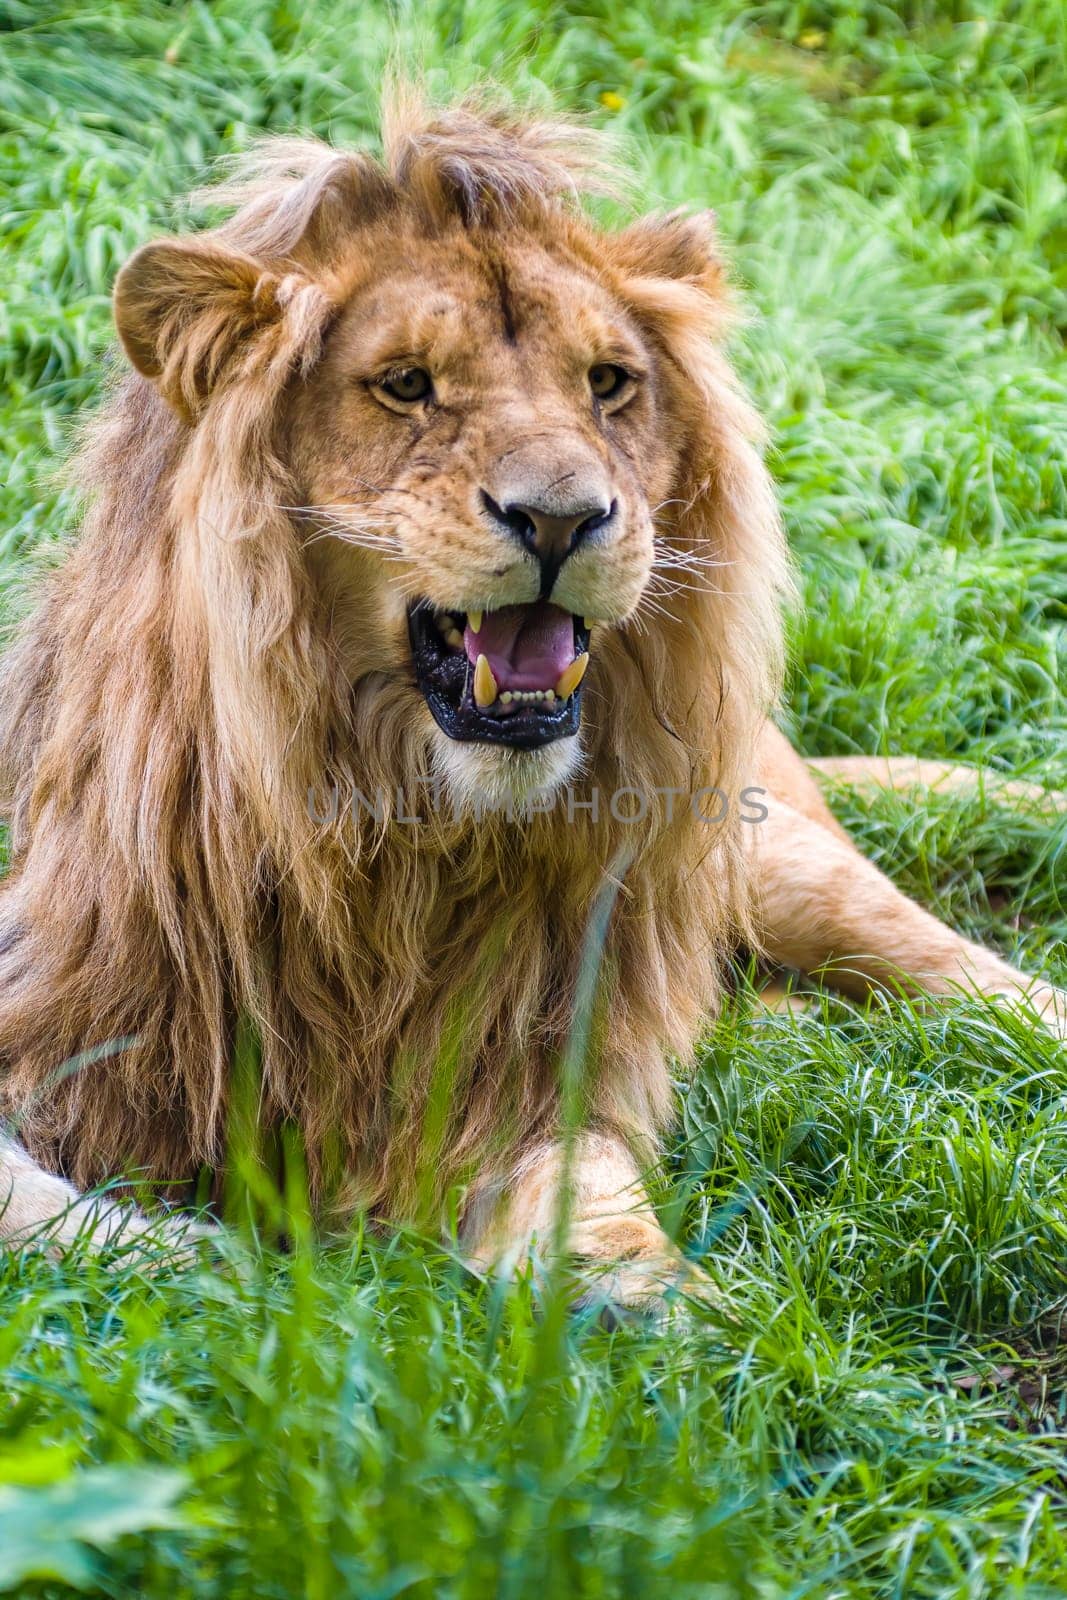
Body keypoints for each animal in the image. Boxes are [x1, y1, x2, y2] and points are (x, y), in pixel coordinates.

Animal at [0, 93, 1062, 1305]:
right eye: (406, 384)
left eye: (606, 383)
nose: (561, 518)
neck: (398, 838)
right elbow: (27, 1198)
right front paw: (186, 1256)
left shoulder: (536, 1053)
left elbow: (580, 1175)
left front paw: (642, 1302)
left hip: (774, 857)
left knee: (979, 981)